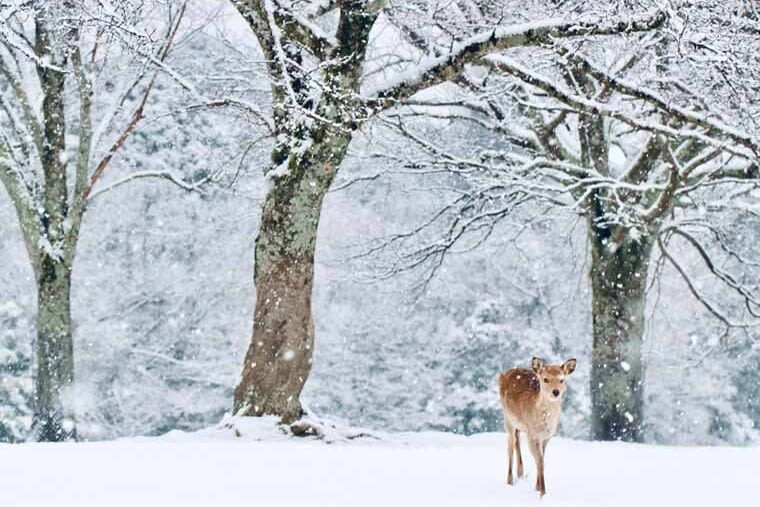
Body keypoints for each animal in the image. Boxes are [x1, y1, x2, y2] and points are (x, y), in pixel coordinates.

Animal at [498, 357, 577, 497]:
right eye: (545, 379)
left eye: (562, 380)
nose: (555, 392)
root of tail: (506, 373)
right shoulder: (533, 435)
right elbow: (540, 462)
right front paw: (542, 493)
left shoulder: (546, 437)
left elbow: (541, 460)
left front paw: (537, 487)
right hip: (507, 419)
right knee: (511, 445)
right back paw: (510, 481)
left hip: (520, 426)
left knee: (517, 441)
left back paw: (520, 474)